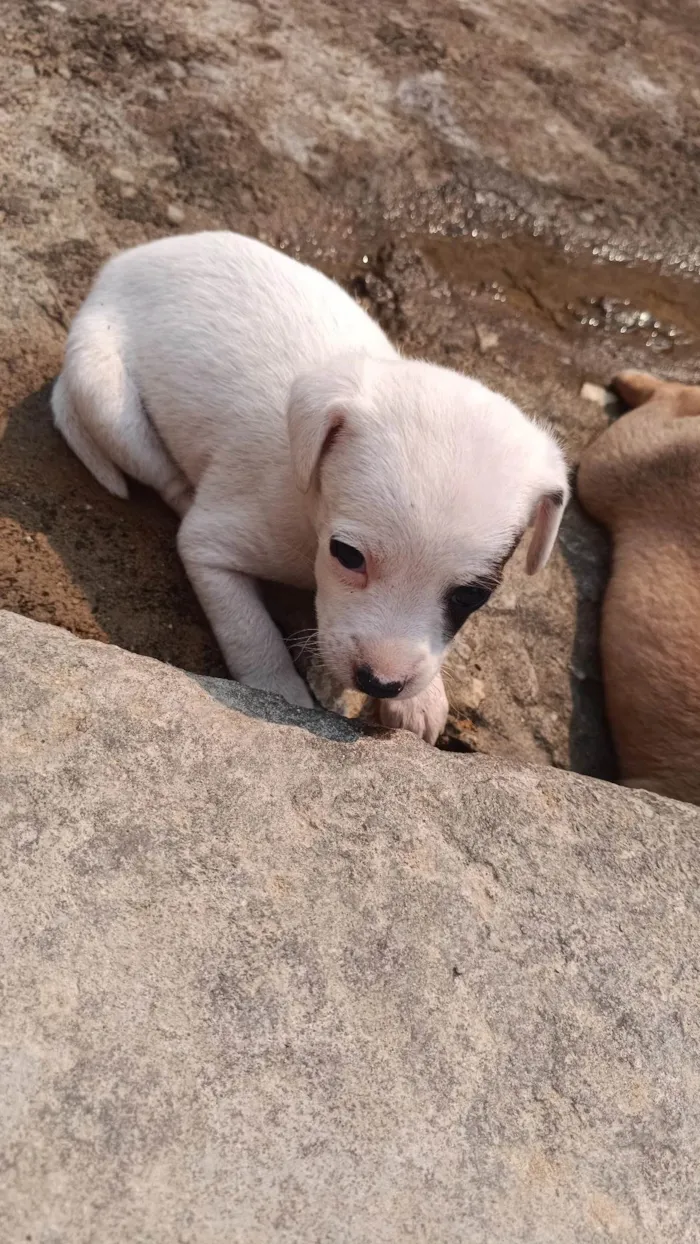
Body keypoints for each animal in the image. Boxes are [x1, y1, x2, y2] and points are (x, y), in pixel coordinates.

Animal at [53, 230, 569, 741]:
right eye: (348, 555)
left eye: (472, 597)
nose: (380, 683)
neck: (311, 512)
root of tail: (121, 263)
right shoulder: (211, 549)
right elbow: (250, 631)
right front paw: (279, 692)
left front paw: (421, 698)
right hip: (107, 396)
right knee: (160, 471)